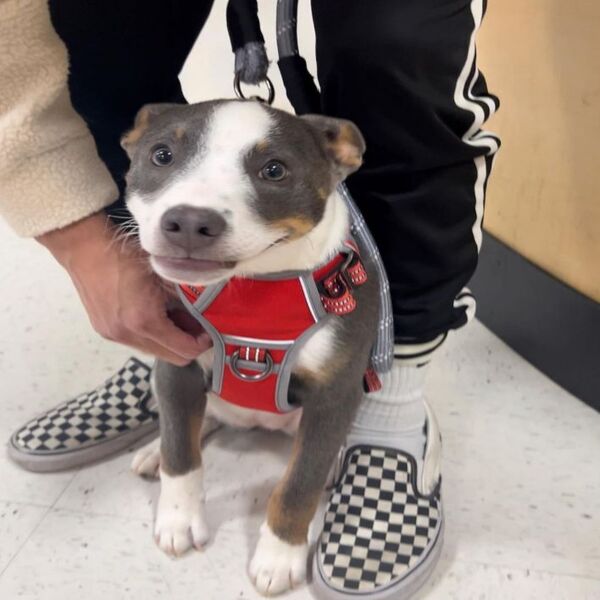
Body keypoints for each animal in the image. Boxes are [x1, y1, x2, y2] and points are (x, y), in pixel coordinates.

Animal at [122, 99, 380, 596]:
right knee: (189, 423)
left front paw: (279, 555)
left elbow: (299, 483)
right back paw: (154, 450)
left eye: (274, 170)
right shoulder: (177, 365)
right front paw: (178, 519)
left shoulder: (334, 396)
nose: (189, 222)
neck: (256, 290)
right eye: (162, 155)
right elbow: (181, 455)